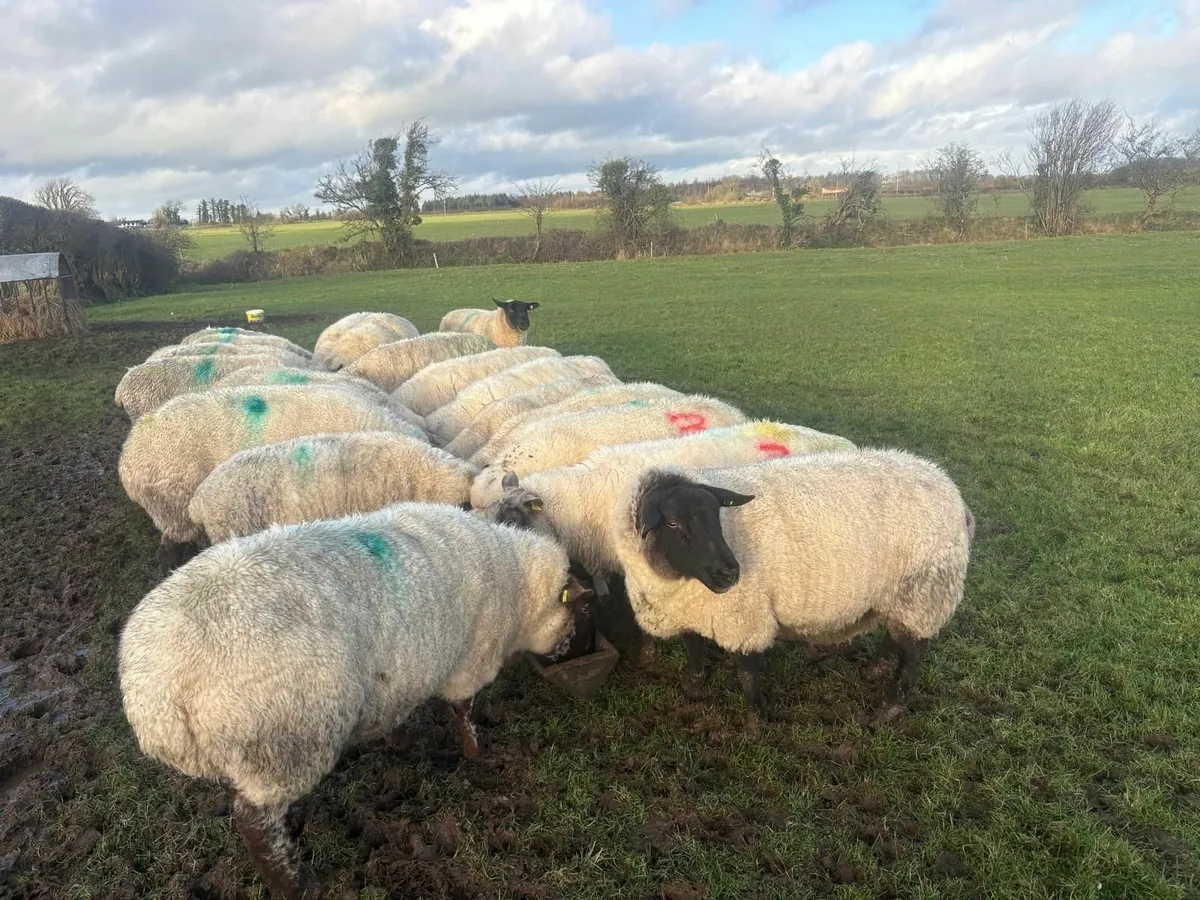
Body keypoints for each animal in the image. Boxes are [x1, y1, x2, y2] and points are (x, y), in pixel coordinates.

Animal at [118, 503, 595, 899]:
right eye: (583, 611)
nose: (573, 654)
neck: (516, 578)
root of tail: (155, 693)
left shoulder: (402, 674)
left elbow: (399, 716)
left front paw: (403, 745)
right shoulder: (470, 663)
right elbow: (464, 713)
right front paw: (476, 755)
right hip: (282, 744)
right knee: (256, 825)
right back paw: (298, 887)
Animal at [610, 450, 974, 724]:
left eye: (717, 515)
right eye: (673, 523)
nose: (730, 573)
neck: (676, 579)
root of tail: (954, 493)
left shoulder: (746, 615)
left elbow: (746, 671)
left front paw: (755, 722)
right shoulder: (688, 608)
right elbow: (692, 644)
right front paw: (694, 683)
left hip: (924, 589)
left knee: (913, 653)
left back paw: (890, 709)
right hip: (900, 593)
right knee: (897, 634)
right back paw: (875, 670)